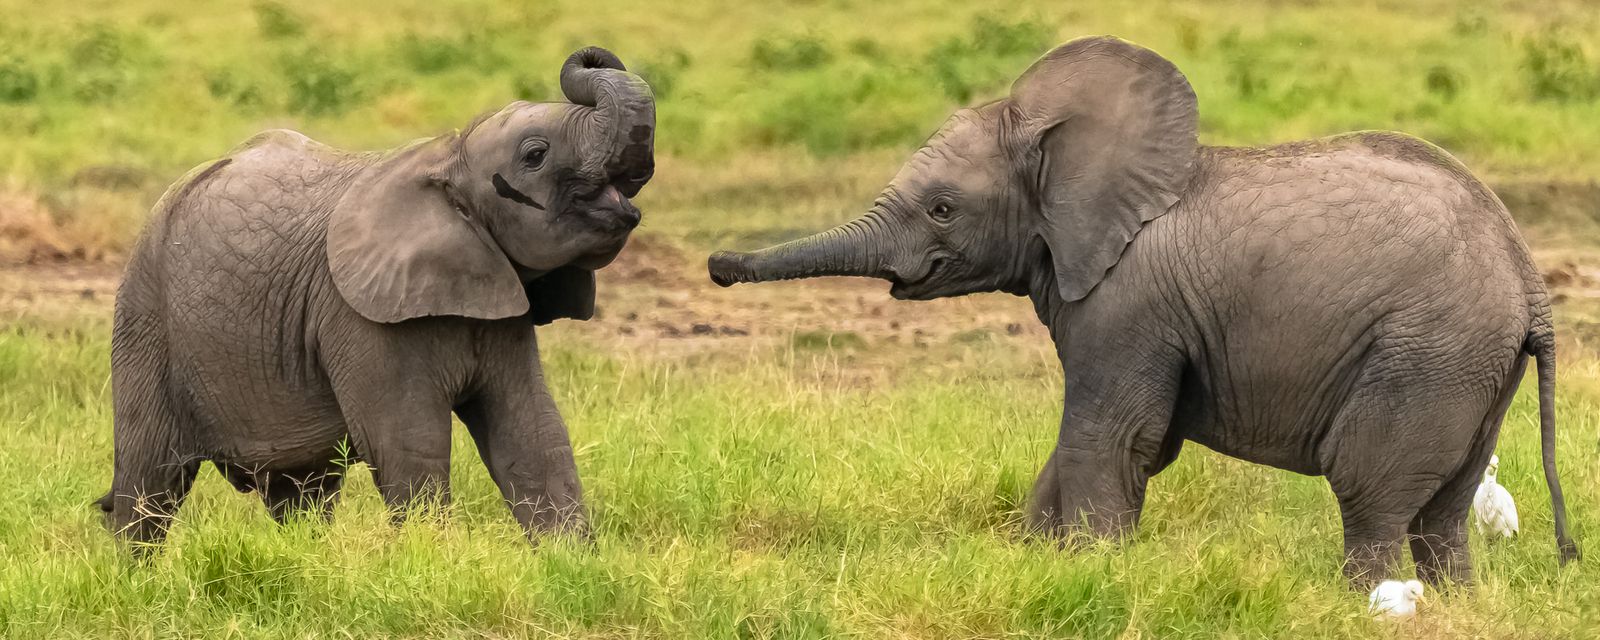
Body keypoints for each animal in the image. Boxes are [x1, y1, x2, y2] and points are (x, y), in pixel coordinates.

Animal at [100, 46, 652, 544]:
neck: (447, 156)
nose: (590, 55)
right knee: (149, 485)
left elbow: (533, 434)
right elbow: (409, 444)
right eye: (535, 156)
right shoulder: (358, 316)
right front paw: (431, 560)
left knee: (301, 490)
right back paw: (136, 575)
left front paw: (574, 563)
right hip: (145, 317)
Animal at [710, 33, 1574, 585]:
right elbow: (1095, 447)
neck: (1064, 150)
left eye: (943, 210)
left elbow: (1114, 436)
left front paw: (1094, 578)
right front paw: (1040, 567)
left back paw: (1361, 605)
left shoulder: (1127, 304)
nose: (719, 264)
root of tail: (1528, 278)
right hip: (1470, 364)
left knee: (1370, 491)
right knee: (1444, 509)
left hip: (1425, 351)